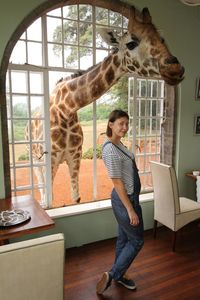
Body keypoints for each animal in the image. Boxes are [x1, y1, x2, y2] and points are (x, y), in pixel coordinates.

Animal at [29, 7, 184, 204]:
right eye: (131, 43)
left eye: (161, 39)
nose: (175, 69)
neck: (66, 109)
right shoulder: (52, 159)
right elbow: (51, 198)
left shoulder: (75, 156)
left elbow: (76, 198)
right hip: (36, 158)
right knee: (41, 186)